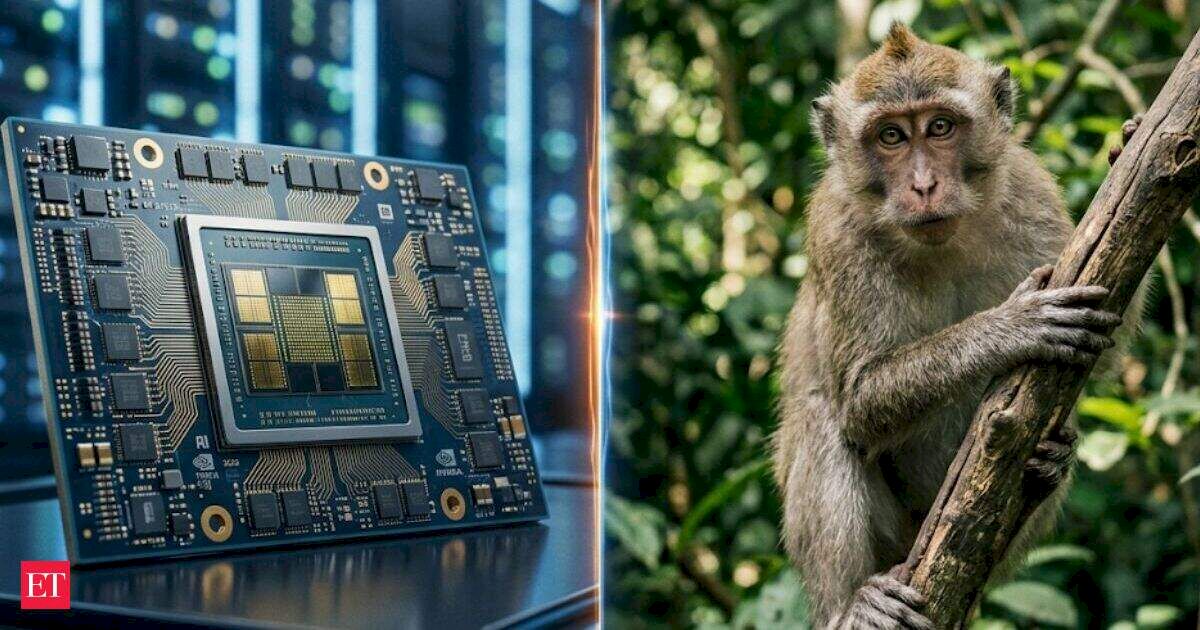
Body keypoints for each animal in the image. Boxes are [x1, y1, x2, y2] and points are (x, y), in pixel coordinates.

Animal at [771, 25, 1142, 629]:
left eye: (940, 127)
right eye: (891, 136)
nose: (923, 185)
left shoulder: (1030, 192)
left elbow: (1103, 330)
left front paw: (1124, 148)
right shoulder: (836, 230)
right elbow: (859, 398)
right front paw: (1011, 326)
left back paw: (1047, 464)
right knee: (823, 418)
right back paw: (852, 606)